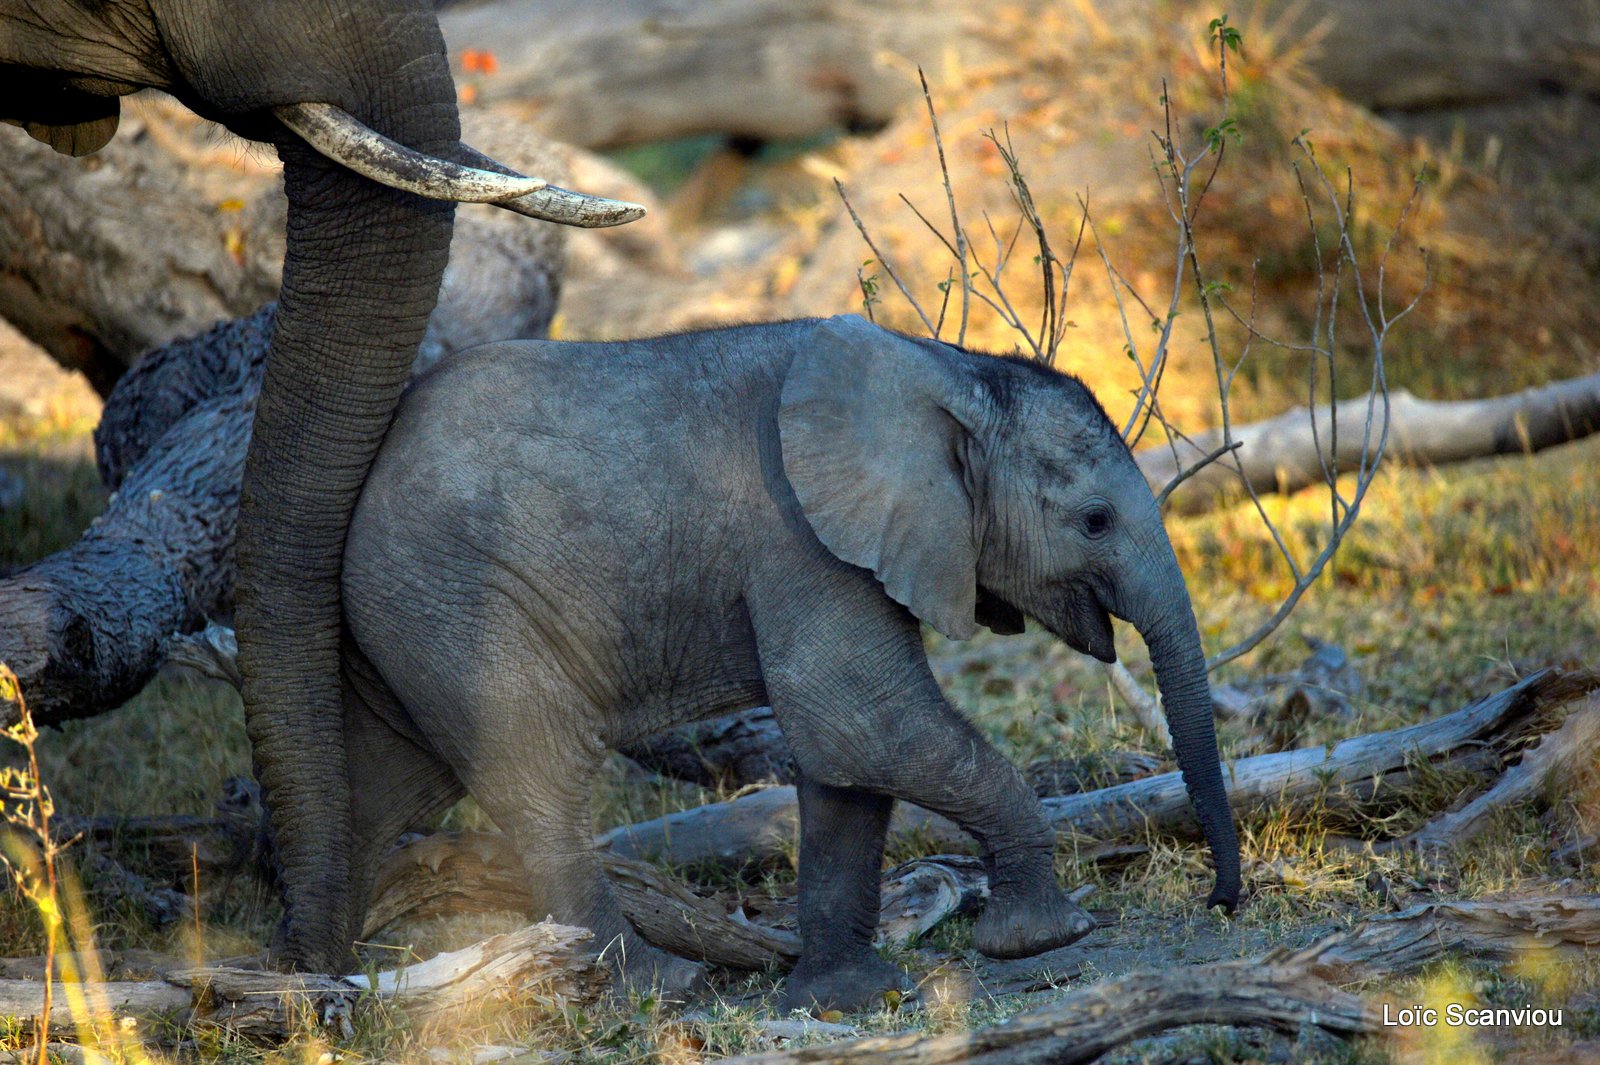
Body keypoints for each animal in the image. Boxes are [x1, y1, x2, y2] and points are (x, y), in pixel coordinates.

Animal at [337, 313, 1235, 1004]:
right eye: (1094, 520)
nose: (1221, 900)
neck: (945, 368)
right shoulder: (801, 539)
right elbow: (862, 725)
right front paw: (1045, 939)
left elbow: (847, 767)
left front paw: (847, 997)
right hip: (454, 600)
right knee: (542, 777)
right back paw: (659, 986)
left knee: (379, 790)